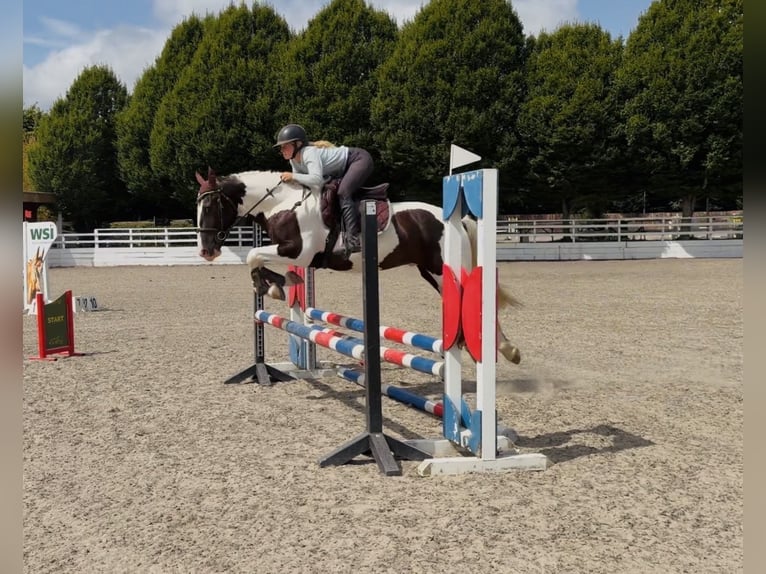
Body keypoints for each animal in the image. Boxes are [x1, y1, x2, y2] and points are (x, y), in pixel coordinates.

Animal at [195, 168, 522, 364]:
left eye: (209, 207)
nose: (206, 251)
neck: (284, 205)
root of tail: (456, 218)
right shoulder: (291, 254)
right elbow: (258, 260)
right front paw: (280, 283)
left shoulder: (299, 253)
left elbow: (253, 255)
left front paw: (274, 285)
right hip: (430, 273)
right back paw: (492, 347)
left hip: (445, 271)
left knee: (475, 300)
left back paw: (502, 349)